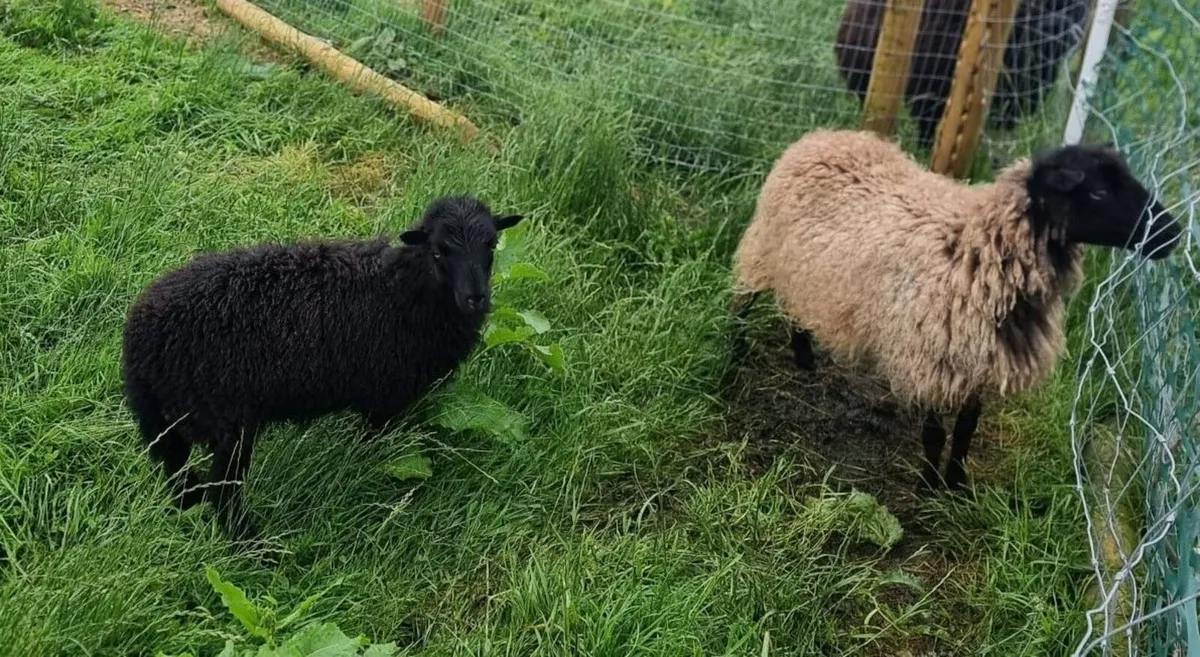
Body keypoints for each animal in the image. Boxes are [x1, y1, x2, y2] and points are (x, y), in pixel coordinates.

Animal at [122, 196, 524, 538]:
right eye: (440, 250)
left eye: (491, 245)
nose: (476, 298)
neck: (405, 289)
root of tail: (140, 337)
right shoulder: (385, 399)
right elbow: (376, 447)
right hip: (225, 422)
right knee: (223, 490)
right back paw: (253, 546)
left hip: (164, 421)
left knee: (176, 474)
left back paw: (188, 511)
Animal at [730, 129, 1182, 491]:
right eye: (1099, 192)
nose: (1173, 235)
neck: (980, 245)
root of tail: (820, 137)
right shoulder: (928, 355)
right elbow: (934, 433)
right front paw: (929, 487)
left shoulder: (980, 358)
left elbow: (966, 430)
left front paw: (957, 484)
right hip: (764, 249)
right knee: (741, 303)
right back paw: (735, 356)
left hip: (805, 270)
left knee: (796, 311)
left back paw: (805, 359)